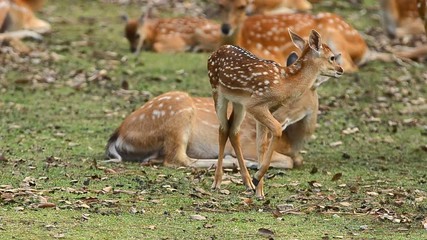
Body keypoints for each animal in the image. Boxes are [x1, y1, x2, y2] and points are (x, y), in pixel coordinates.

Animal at [207, 29, 344, 199]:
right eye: (332, 57)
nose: (341, 70)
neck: (284, 84)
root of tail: (216, 51)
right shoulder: (256, 104)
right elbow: (277, 129)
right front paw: (257, 178)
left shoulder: (266, 108)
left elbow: (261, 145)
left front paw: (259, 191)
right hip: (217, 91)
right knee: (223, 129)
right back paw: (217, 183)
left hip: (239, 103)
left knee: (233, 130)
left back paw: (248, 183)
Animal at [219, 0, 370, 72]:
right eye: (220, 4)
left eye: (242, 6)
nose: (225, 28)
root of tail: (364, 46)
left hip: (336, 36)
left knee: (350, 66)